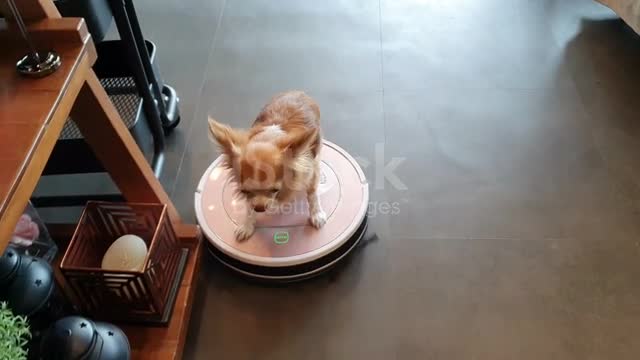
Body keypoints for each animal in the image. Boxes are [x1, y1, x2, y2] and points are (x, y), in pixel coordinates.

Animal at [210, 91, 328, 240]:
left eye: (274, 190)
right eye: (244, 191)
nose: (260, 208)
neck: (268, 138)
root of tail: (297, 92)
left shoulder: (310, 170)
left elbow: (312, 194)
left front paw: (316, 214)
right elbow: (249, 206)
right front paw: (247, 225)